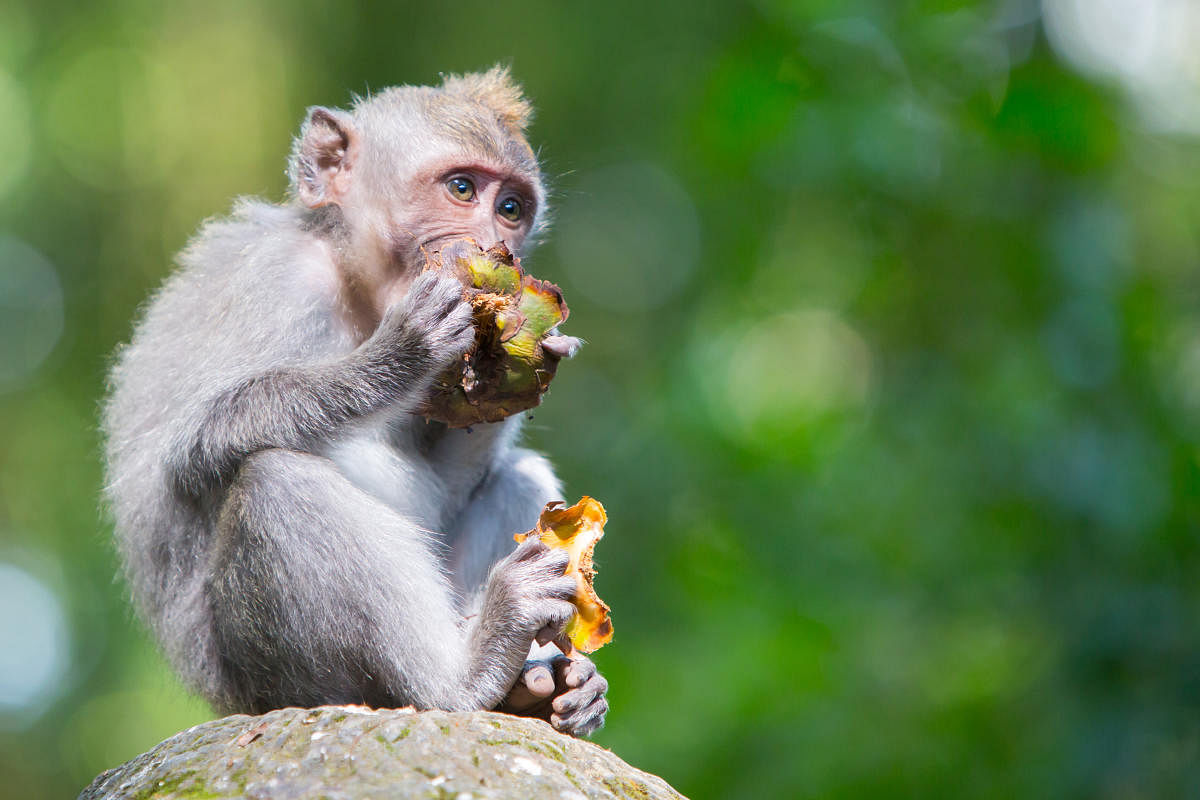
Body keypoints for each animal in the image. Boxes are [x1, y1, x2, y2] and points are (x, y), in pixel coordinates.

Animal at [99, 68, 609, 738]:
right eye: (462, 188)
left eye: (510, 208)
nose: (498, 244)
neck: (352, 283)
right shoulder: (280, 280)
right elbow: (195, 444)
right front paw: (401, 354)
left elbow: (446, 488)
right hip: (271, 677)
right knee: (276, 481)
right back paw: (467, 675)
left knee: (518, 475)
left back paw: (536, 686)